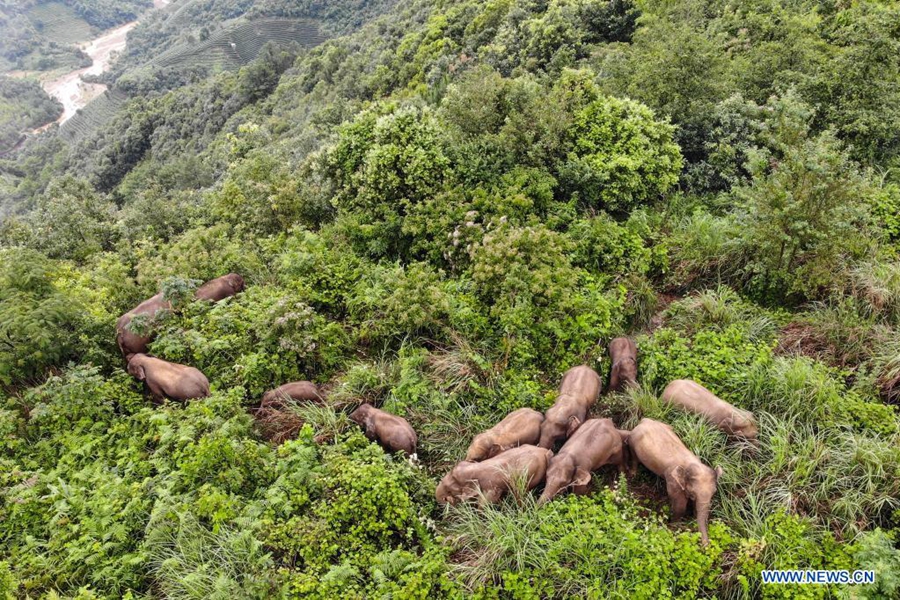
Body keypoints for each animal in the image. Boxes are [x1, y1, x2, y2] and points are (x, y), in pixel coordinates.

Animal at [624, 420, 724, 548]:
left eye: (714, 492)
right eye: (692, 493)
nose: (706, 545)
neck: (691, 464)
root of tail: (644, 420)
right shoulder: (673, 482)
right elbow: (679, 505)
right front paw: (675, 526)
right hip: (632, 441)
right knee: (634, 457)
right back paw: (632, 475)